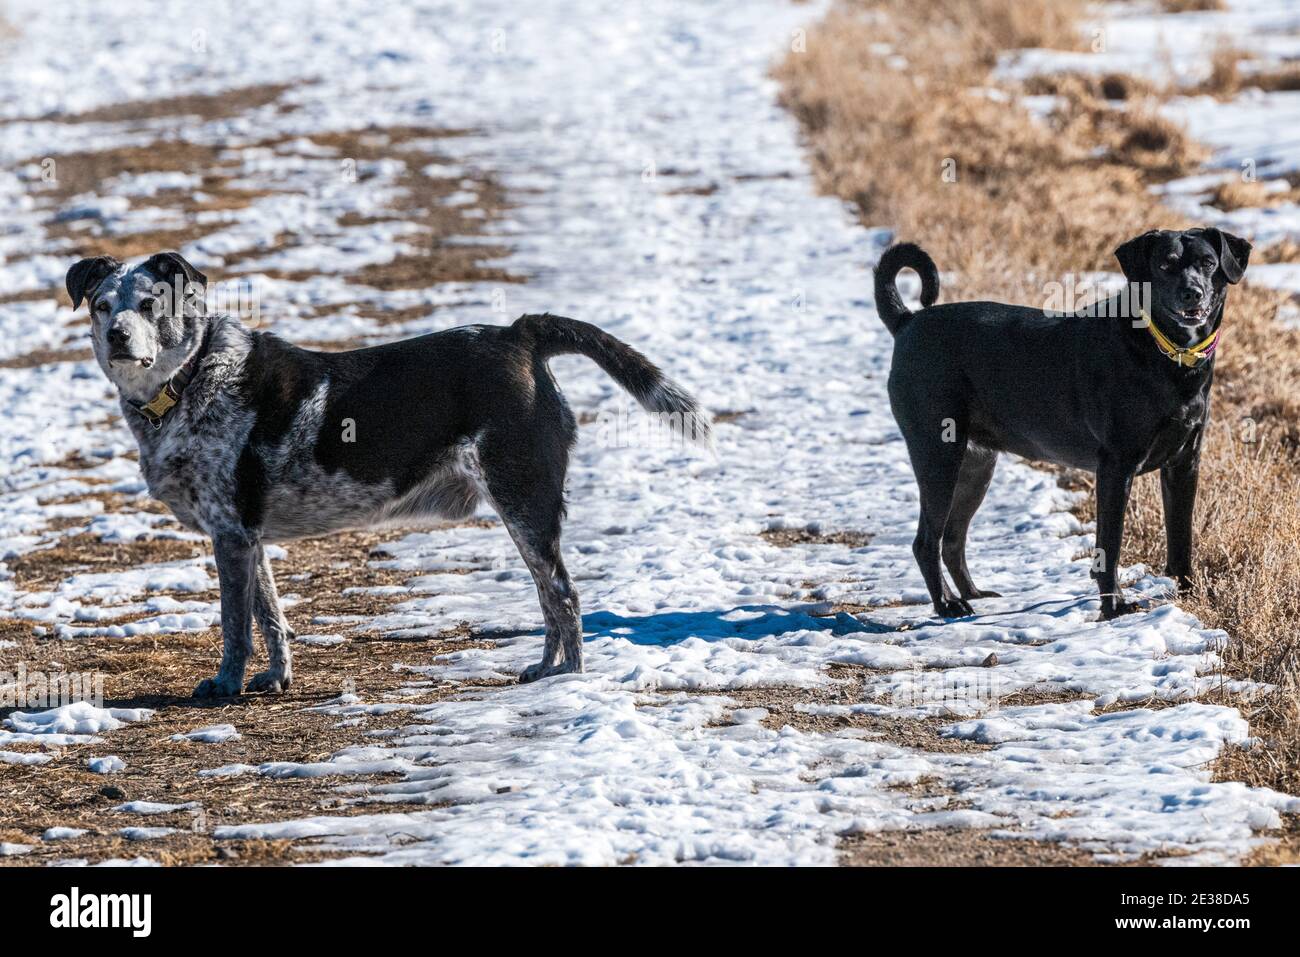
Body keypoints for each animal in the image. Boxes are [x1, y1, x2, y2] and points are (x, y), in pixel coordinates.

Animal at [65, 250, 712, 696]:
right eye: (102, 305)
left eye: (150, 303)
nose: (117, 336)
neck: (190, 377)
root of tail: (519, 334)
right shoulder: (248, 538)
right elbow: (270, 618)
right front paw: (275, 681)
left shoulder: (229, 534)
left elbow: (234, 628)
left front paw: (225, 687)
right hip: (521, 510)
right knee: (549, 598)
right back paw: (544, 670)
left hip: (525, 498)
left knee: (566, 597)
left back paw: (569, 681)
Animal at [873, 228, 1248, 624]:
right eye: (1165, 264)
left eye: (1208, 263)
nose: (1193, 292)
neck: (1167, 353)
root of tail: (907, 321)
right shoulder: (1116, 467)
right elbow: (1109, 545)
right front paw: (1113, 606)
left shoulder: (1184, 464)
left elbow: (1181, 539)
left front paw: (1189, 593)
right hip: (937, 455)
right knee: (926, 541)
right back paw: (947, 604)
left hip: (976, 465)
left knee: (952, 538)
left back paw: (973, 594)